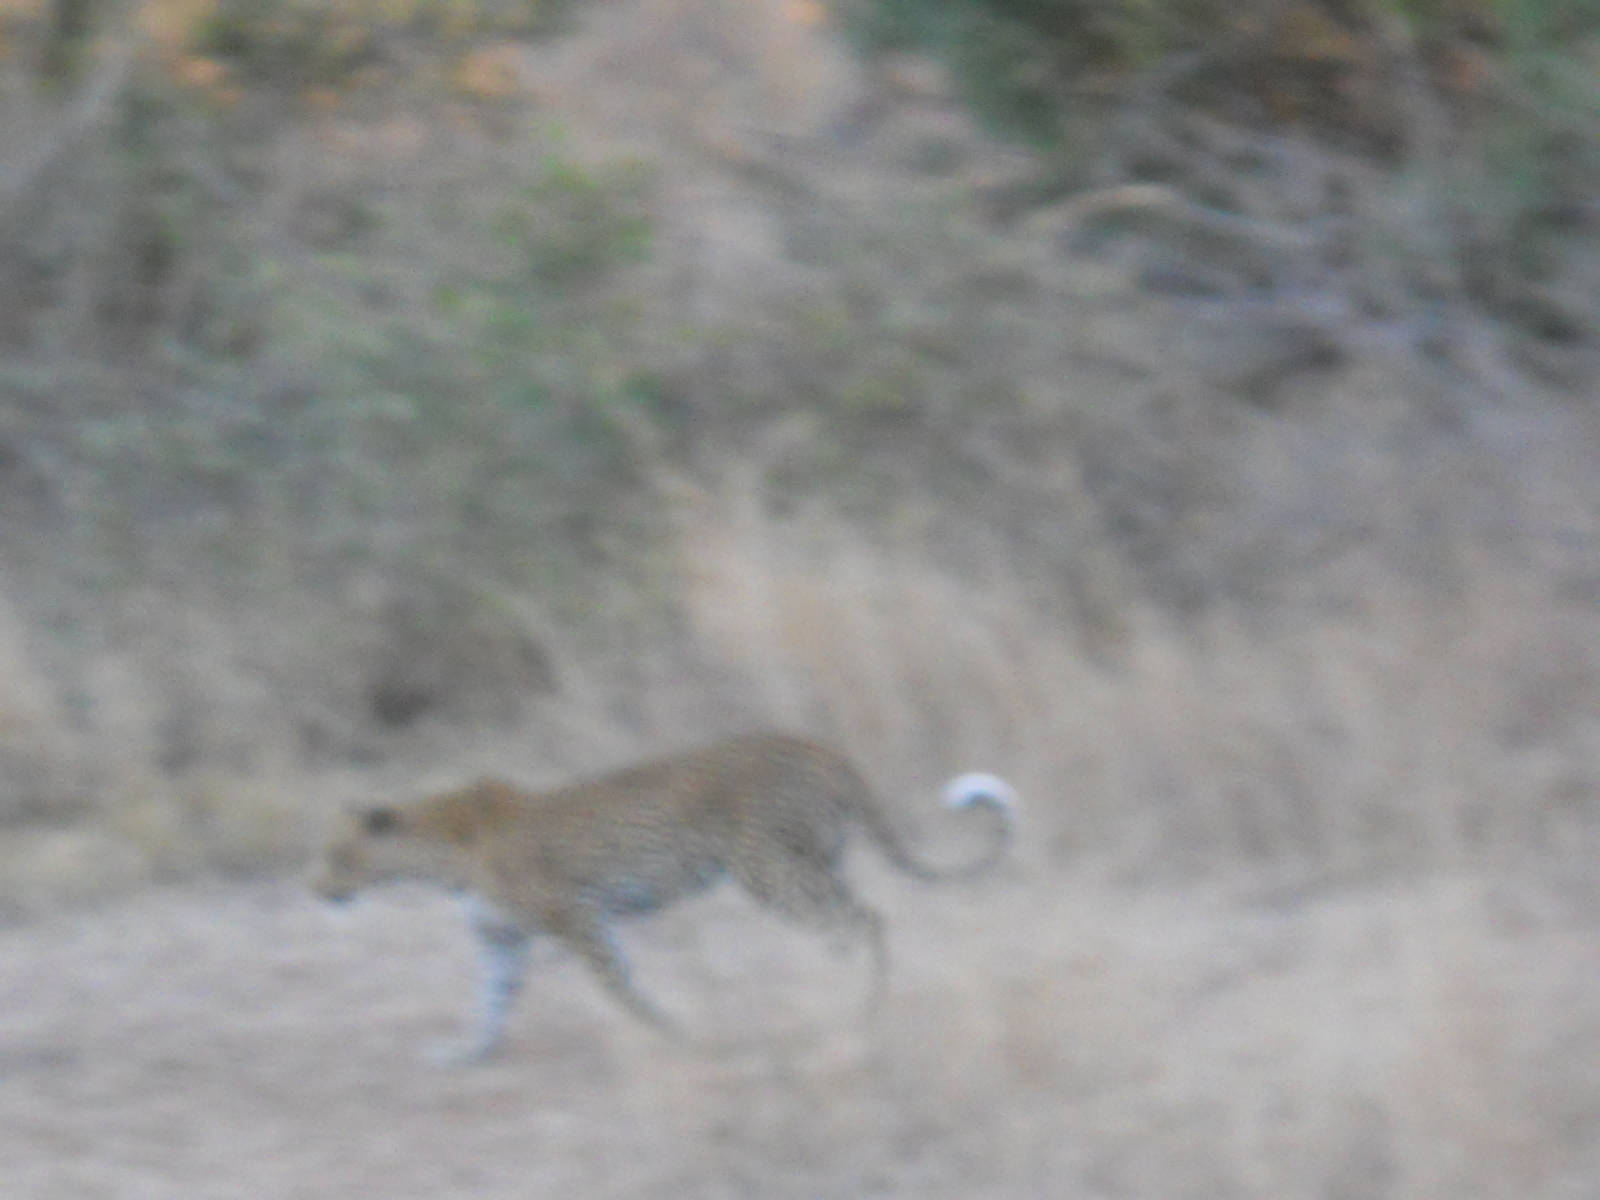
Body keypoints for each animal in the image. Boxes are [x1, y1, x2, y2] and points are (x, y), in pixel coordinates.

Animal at [311, 730, 1015, 1062]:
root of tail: (817, 744)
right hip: (814, 861)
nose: (316, 890)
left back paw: (853, 1004)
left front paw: (673, 1033)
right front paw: (465, 1054)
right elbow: (490, 1002)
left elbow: (620, 987)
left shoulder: (579, 917)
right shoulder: (501, 937)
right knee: (858, 917)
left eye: (338, 856)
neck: (439, 856)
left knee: (860, 921)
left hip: (767, 868)